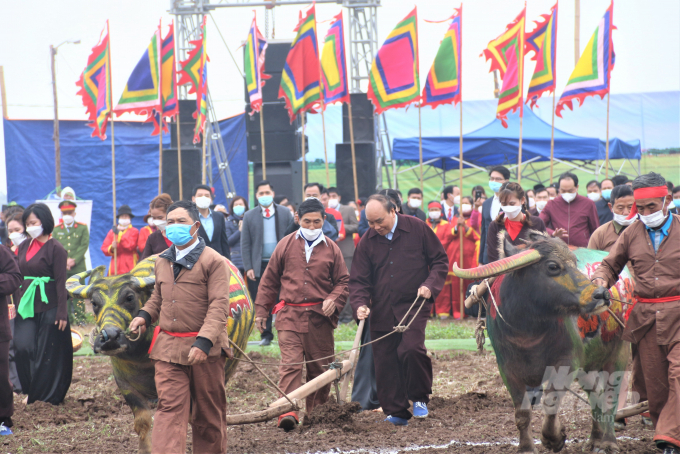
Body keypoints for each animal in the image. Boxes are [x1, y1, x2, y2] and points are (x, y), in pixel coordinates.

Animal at [66, 258, 254, 452]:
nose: (109, 337)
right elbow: (143, 421)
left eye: (129, 298)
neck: (141, 359)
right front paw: (146, 449)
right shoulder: (124, 384)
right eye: (94, 303)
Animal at [454, 234, 628, 454]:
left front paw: (554, 438)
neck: (527, 332)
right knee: (596, 392)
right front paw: (526, 447)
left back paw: (608, 443)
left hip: (619, 353)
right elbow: (522, 413)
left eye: (574, 262)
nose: (602, 294)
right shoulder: (507, 370)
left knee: (611, 398)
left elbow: (550, 402)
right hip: (588, 364)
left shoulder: (567, 363)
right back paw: (594, 440)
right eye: (553, 266)